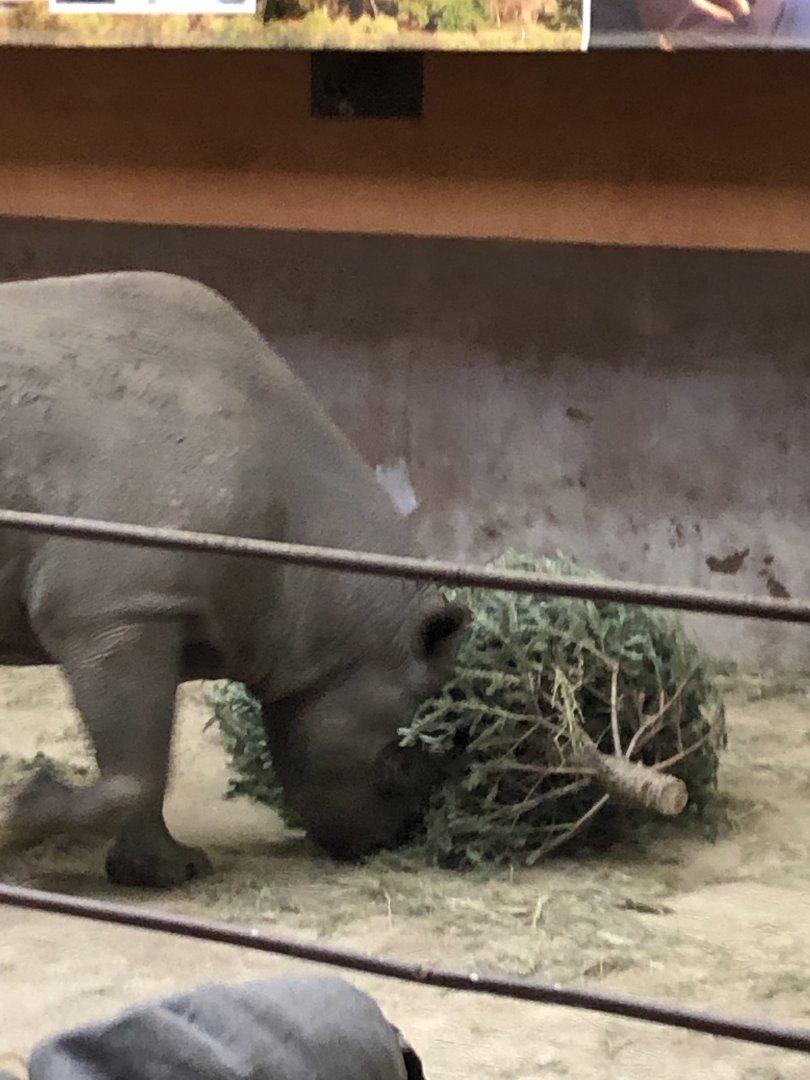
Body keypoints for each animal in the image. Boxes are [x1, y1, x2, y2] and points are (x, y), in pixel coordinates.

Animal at [0, 271, 468, 888]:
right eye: (400, 763)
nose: (383, 842)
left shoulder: (148, 605)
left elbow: (146, 762)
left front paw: (167, 872)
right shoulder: (114, 606)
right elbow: (136, 772)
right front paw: (16, 813)